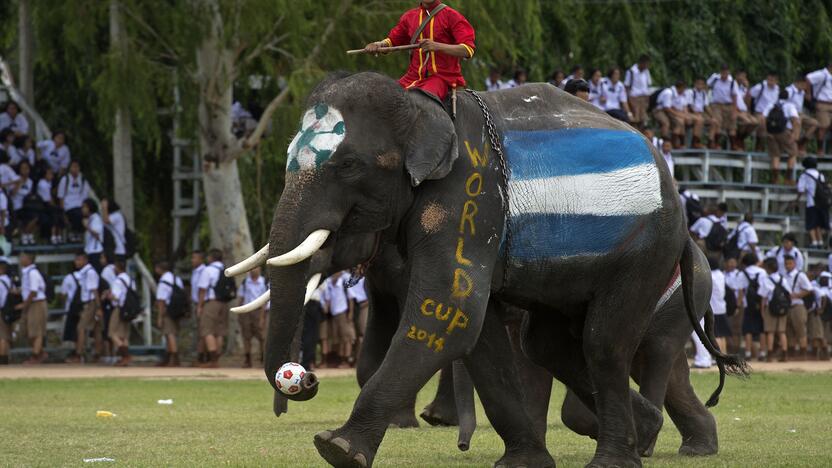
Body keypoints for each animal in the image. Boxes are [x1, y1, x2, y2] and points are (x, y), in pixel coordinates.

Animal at [224, 71, 744, 466]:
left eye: (349, 164)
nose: (304, 378)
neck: (423, 105)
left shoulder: (469, 195)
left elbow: (445, 315)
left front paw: (337, 449)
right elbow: (475, 333)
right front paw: (522, 463)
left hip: (647, 249)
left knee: (604, 344)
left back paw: (619, 457)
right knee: (549, 344)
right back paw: (654, 431)